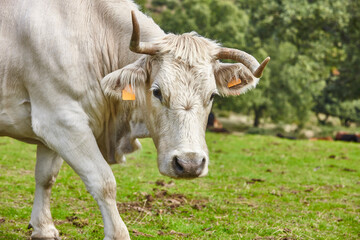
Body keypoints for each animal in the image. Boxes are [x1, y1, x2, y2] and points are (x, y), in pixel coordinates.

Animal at [0, 0, 270, 239]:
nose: (190, 164)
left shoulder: (54, 126)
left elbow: (45, 177)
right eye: (157, 91)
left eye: (212, 95)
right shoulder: (60, 120)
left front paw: (43, 229)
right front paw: (117, 234)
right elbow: (104, 181)